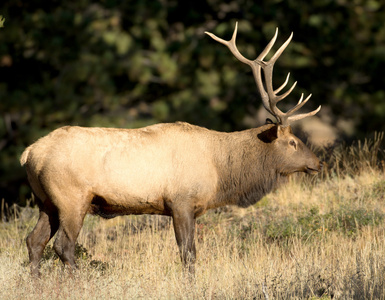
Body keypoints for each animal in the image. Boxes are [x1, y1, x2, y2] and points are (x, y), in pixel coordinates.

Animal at [20, 22, 320, 276]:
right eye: (292, 142)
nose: (317, 162)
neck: (221, 172)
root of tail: (29, 153)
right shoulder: (181, 201)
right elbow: (188, 254)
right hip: (72, 197)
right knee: (63, 246)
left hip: (46, 201)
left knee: (34, 241)